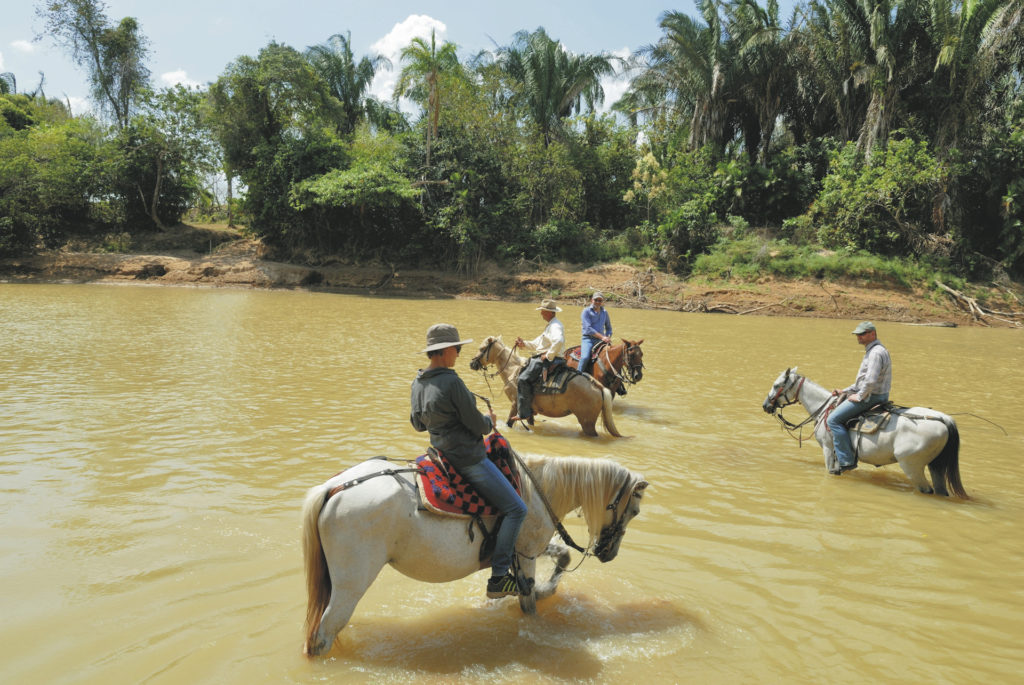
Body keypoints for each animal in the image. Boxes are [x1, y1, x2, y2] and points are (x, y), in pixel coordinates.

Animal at [299, 450, 647, 655]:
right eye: (634, 510)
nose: (608, 553)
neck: (538, 489)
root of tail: (333, 489)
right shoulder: (526, 554)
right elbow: (529, 603)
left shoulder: (525, 549)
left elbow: (562, 557)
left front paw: (547, 589)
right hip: (351, 583)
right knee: (324, 633)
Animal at [468, 333, 618, 436]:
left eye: (482, 348)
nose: (472, 363)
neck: (513, 370)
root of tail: (597, 386)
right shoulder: (528, 409)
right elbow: (530, 422)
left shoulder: (515, 404)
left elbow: (509, 423)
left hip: (587, 423)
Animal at [761, 368, 966, 497]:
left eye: (776, 385)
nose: (765, 405)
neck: (825, 408)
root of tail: (943, 419)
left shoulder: (828, 448)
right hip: (936, 465)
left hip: (911, 466)